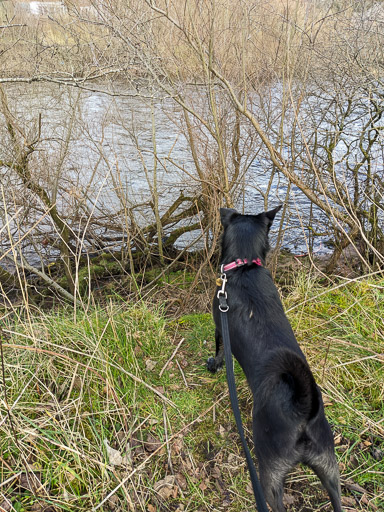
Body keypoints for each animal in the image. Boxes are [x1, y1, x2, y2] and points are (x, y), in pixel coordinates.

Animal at [208, 208, 344, 512]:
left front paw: (214, 364)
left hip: (270, 473)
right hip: (330, 469)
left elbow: (219, 349)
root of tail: (302, 411)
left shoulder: (219, 325)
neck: (245, 266)